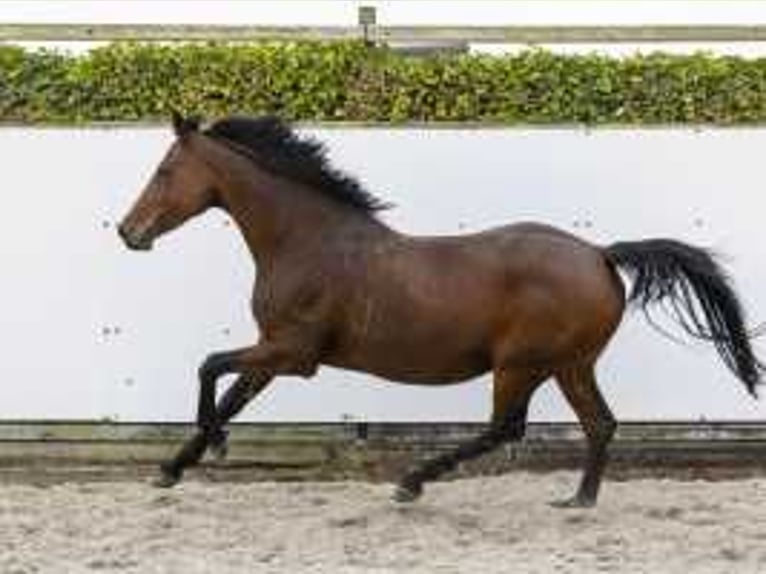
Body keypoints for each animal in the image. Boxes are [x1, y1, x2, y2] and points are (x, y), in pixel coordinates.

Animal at [117, 113, 764, 508]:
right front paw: (175, 466)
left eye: (165, 171)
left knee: (506, 428)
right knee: (599, 423)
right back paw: (578, 499)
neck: (308, 240)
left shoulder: (294, 352)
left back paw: (412, 482)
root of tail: (601, 254)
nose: (128, 232)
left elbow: (209, 366)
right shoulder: (273, 350)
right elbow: (231, 390)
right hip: (570, 364)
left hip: (521, 364)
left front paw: (211, 445)